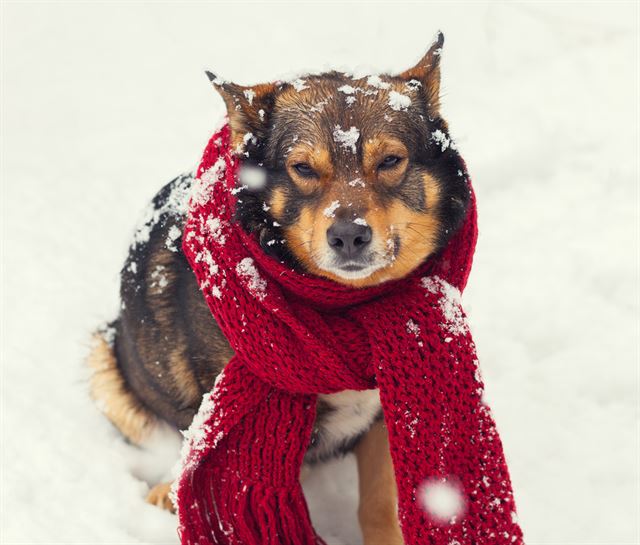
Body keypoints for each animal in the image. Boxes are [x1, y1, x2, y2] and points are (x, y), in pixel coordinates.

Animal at [87, 34, 470, 544]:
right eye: (302, 169)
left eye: (390, 161)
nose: (348, 236)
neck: (341, 308)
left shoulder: (382, 416)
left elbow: (377, 507)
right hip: (106, 364)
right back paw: (169, 488)